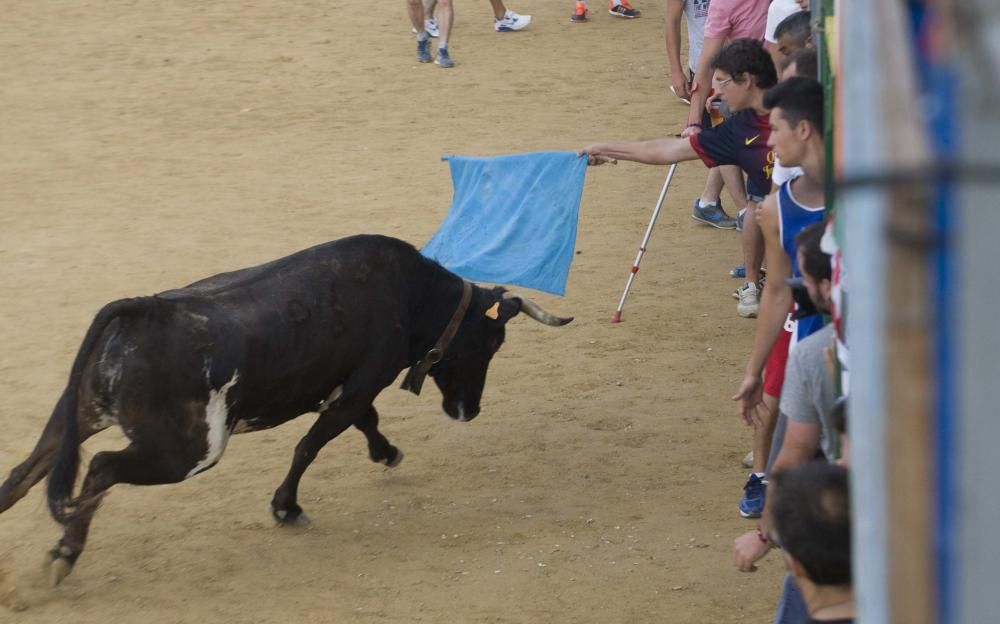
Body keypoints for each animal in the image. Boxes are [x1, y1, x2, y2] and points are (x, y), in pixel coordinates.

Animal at [0, 234, 572, 584]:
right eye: (492, 342)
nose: (469, 410)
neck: (409, 292)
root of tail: (144, 310)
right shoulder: (361, 384)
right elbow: (310, 445)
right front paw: (286, 507)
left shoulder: (341, 389)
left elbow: (361, 425)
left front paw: (386, 454)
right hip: (190, 450)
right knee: (100, 469)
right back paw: (63, 556)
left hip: (74, 417)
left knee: (22, 475)